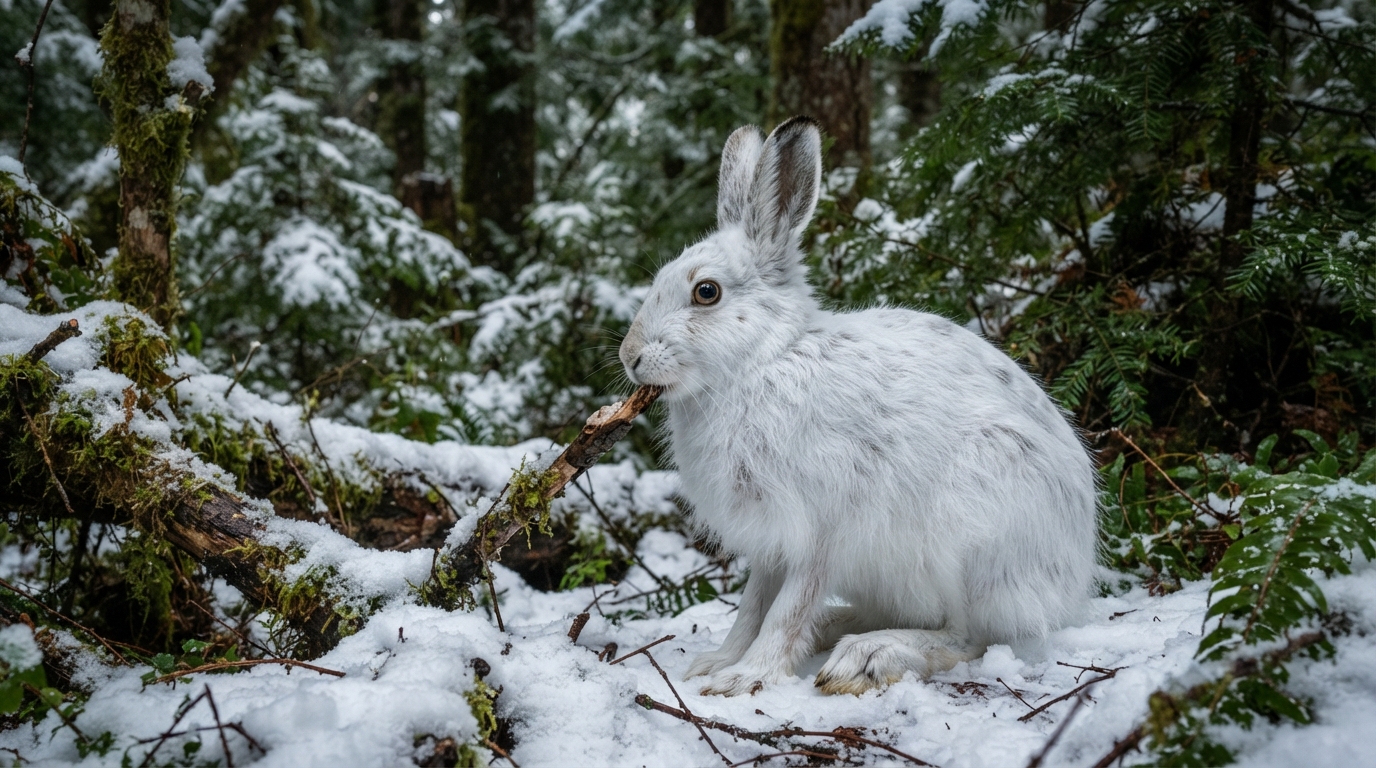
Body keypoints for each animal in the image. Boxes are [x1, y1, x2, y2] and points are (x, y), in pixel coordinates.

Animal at [618, 117, 1099, 697]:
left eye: (706, 292)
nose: (630, 357)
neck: (762, 361)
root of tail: (1073, 579)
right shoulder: (772, 541)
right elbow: (752, 606)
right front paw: (716, 665)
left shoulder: (821, 528)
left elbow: (786, 609)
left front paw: (746, 678)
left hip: (974, 538)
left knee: (971, 635)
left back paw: (868, 656)